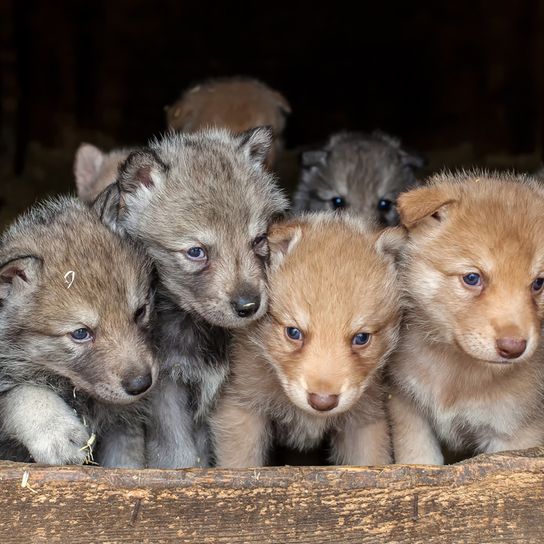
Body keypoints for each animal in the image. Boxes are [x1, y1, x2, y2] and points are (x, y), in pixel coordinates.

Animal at [0, 198, 157, 466]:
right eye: (81, 333)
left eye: (139, 312)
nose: (141, 384)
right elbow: (23, 392)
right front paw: (58, 434)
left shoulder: (123, 425)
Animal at [212, 212, 404, 468]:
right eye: (294, 333)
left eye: (361, 338)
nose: (322, 402)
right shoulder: (242, 407)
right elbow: (240, 464)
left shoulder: (365, 422)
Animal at [388, 170, 544, 464]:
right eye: (472, 278)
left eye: (539, 283)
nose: (513, 348)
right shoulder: (409, 410)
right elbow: (419, 462)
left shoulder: (515, 435)